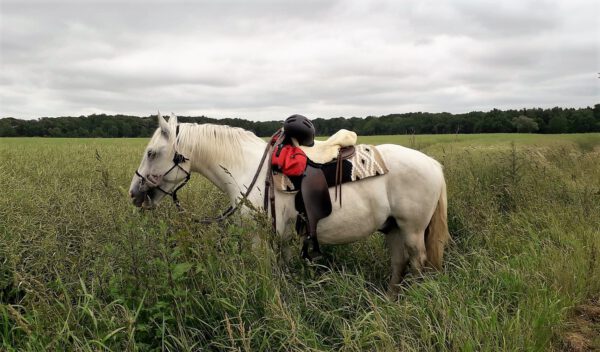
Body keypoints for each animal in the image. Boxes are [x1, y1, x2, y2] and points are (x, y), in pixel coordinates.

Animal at [130, 113, 450, 294]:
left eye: (152, 153)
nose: (134, 193)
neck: (247, 168)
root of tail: (433, 163)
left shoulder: (259, 239)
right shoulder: (282, 236)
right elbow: (284, 267)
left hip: (412, 230)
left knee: (417, 263)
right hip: (393, 227)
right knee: (398, 263)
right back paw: (391, 299)